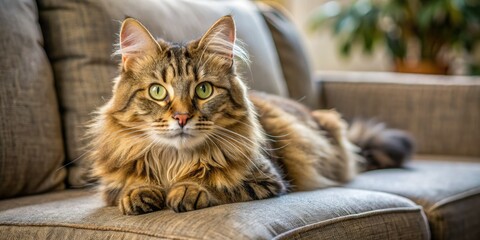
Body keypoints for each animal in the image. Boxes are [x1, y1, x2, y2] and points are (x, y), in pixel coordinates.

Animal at [89, 15, 412, 215]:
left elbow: (219, 184)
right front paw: (139, 194)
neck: (174, 162)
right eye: (157, 91)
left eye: (203, 90)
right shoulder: (109, 189)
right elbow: (129, 187)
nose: (181, 118)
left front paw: (188, 190)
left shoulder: (270, 179)